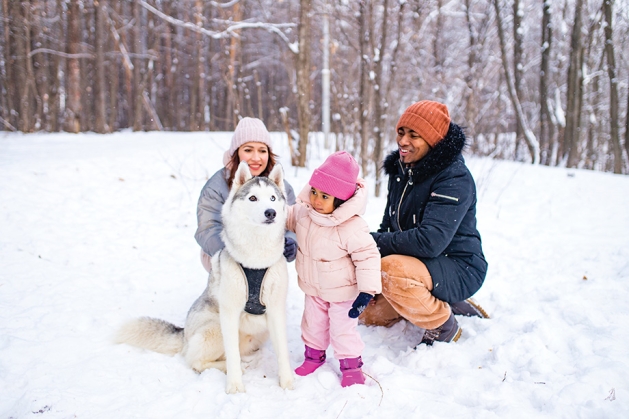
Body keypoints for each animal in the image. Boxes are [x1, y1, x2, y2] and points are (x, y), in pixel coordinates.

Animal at [116, 160, 294, 394]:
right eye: (253, 198)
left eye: (273, 198)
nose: (270, 212)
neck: (256, 258)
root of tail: (184, 334)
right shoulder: (229, 313)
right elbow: (232, 356)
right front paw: (235, 386)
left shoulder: (275, 311)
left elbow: (282, 351)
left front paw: (287, 382)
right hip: (214, 328)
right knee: (197, 361)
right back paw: (231, 367)